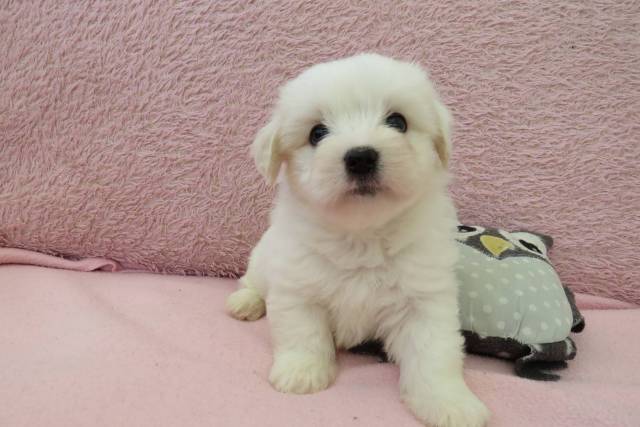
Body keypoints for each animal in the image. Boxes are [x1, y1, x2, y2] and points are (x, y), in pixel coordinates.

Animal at [228, 54, 488, 427]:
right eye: (317, 133)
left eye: (397, 121)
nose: (361, 157)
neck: (362, 236)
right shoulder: (297, 289)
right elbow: (303, 334)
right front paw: (302, 373)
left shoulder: (425, 300)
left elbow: (434, 354)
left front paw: (449, 402)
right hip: (263, 259)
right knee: (251, 281)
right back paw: (244, 303)